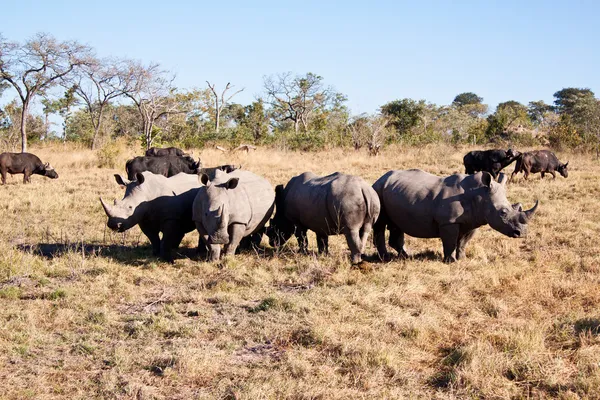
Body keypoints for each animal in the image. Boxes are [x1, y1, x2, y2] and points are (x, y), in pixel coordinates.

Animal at [376, 169, 540, 262]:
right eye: (503, 212)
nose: (521, 233)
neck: (480, 194)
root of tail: (382, 177)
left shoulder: (473, 221)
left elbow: (462, 243)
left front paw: (462, 259)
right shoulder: (449, 222)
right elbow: (450, 242)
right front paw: (450, 261)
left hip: (395, 191)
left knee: (396, 225)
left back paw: (406, 256)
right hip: (378, 189)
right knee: (380, 224)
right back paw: (386, 258)